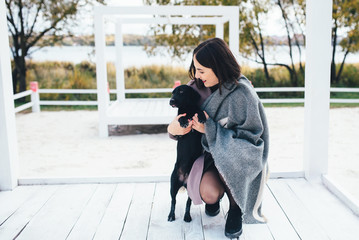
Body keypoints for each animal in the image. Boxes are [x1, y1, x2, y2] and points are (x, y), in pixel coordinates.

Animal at [168, 85, 205, 222]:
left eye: (181, 91)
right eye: (172, 93)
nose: (171, 101)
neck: (188, 110)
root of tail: (183, 179)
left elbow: (199, 111)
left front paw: (202, 116)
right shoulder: (179, 130)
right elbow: (180, 117)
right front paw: (184, 121)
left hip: (191, 188)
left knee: (188, 202)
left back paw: (187, 216)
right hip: (173, 186)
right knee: (173, 201)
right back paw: (171, 215)